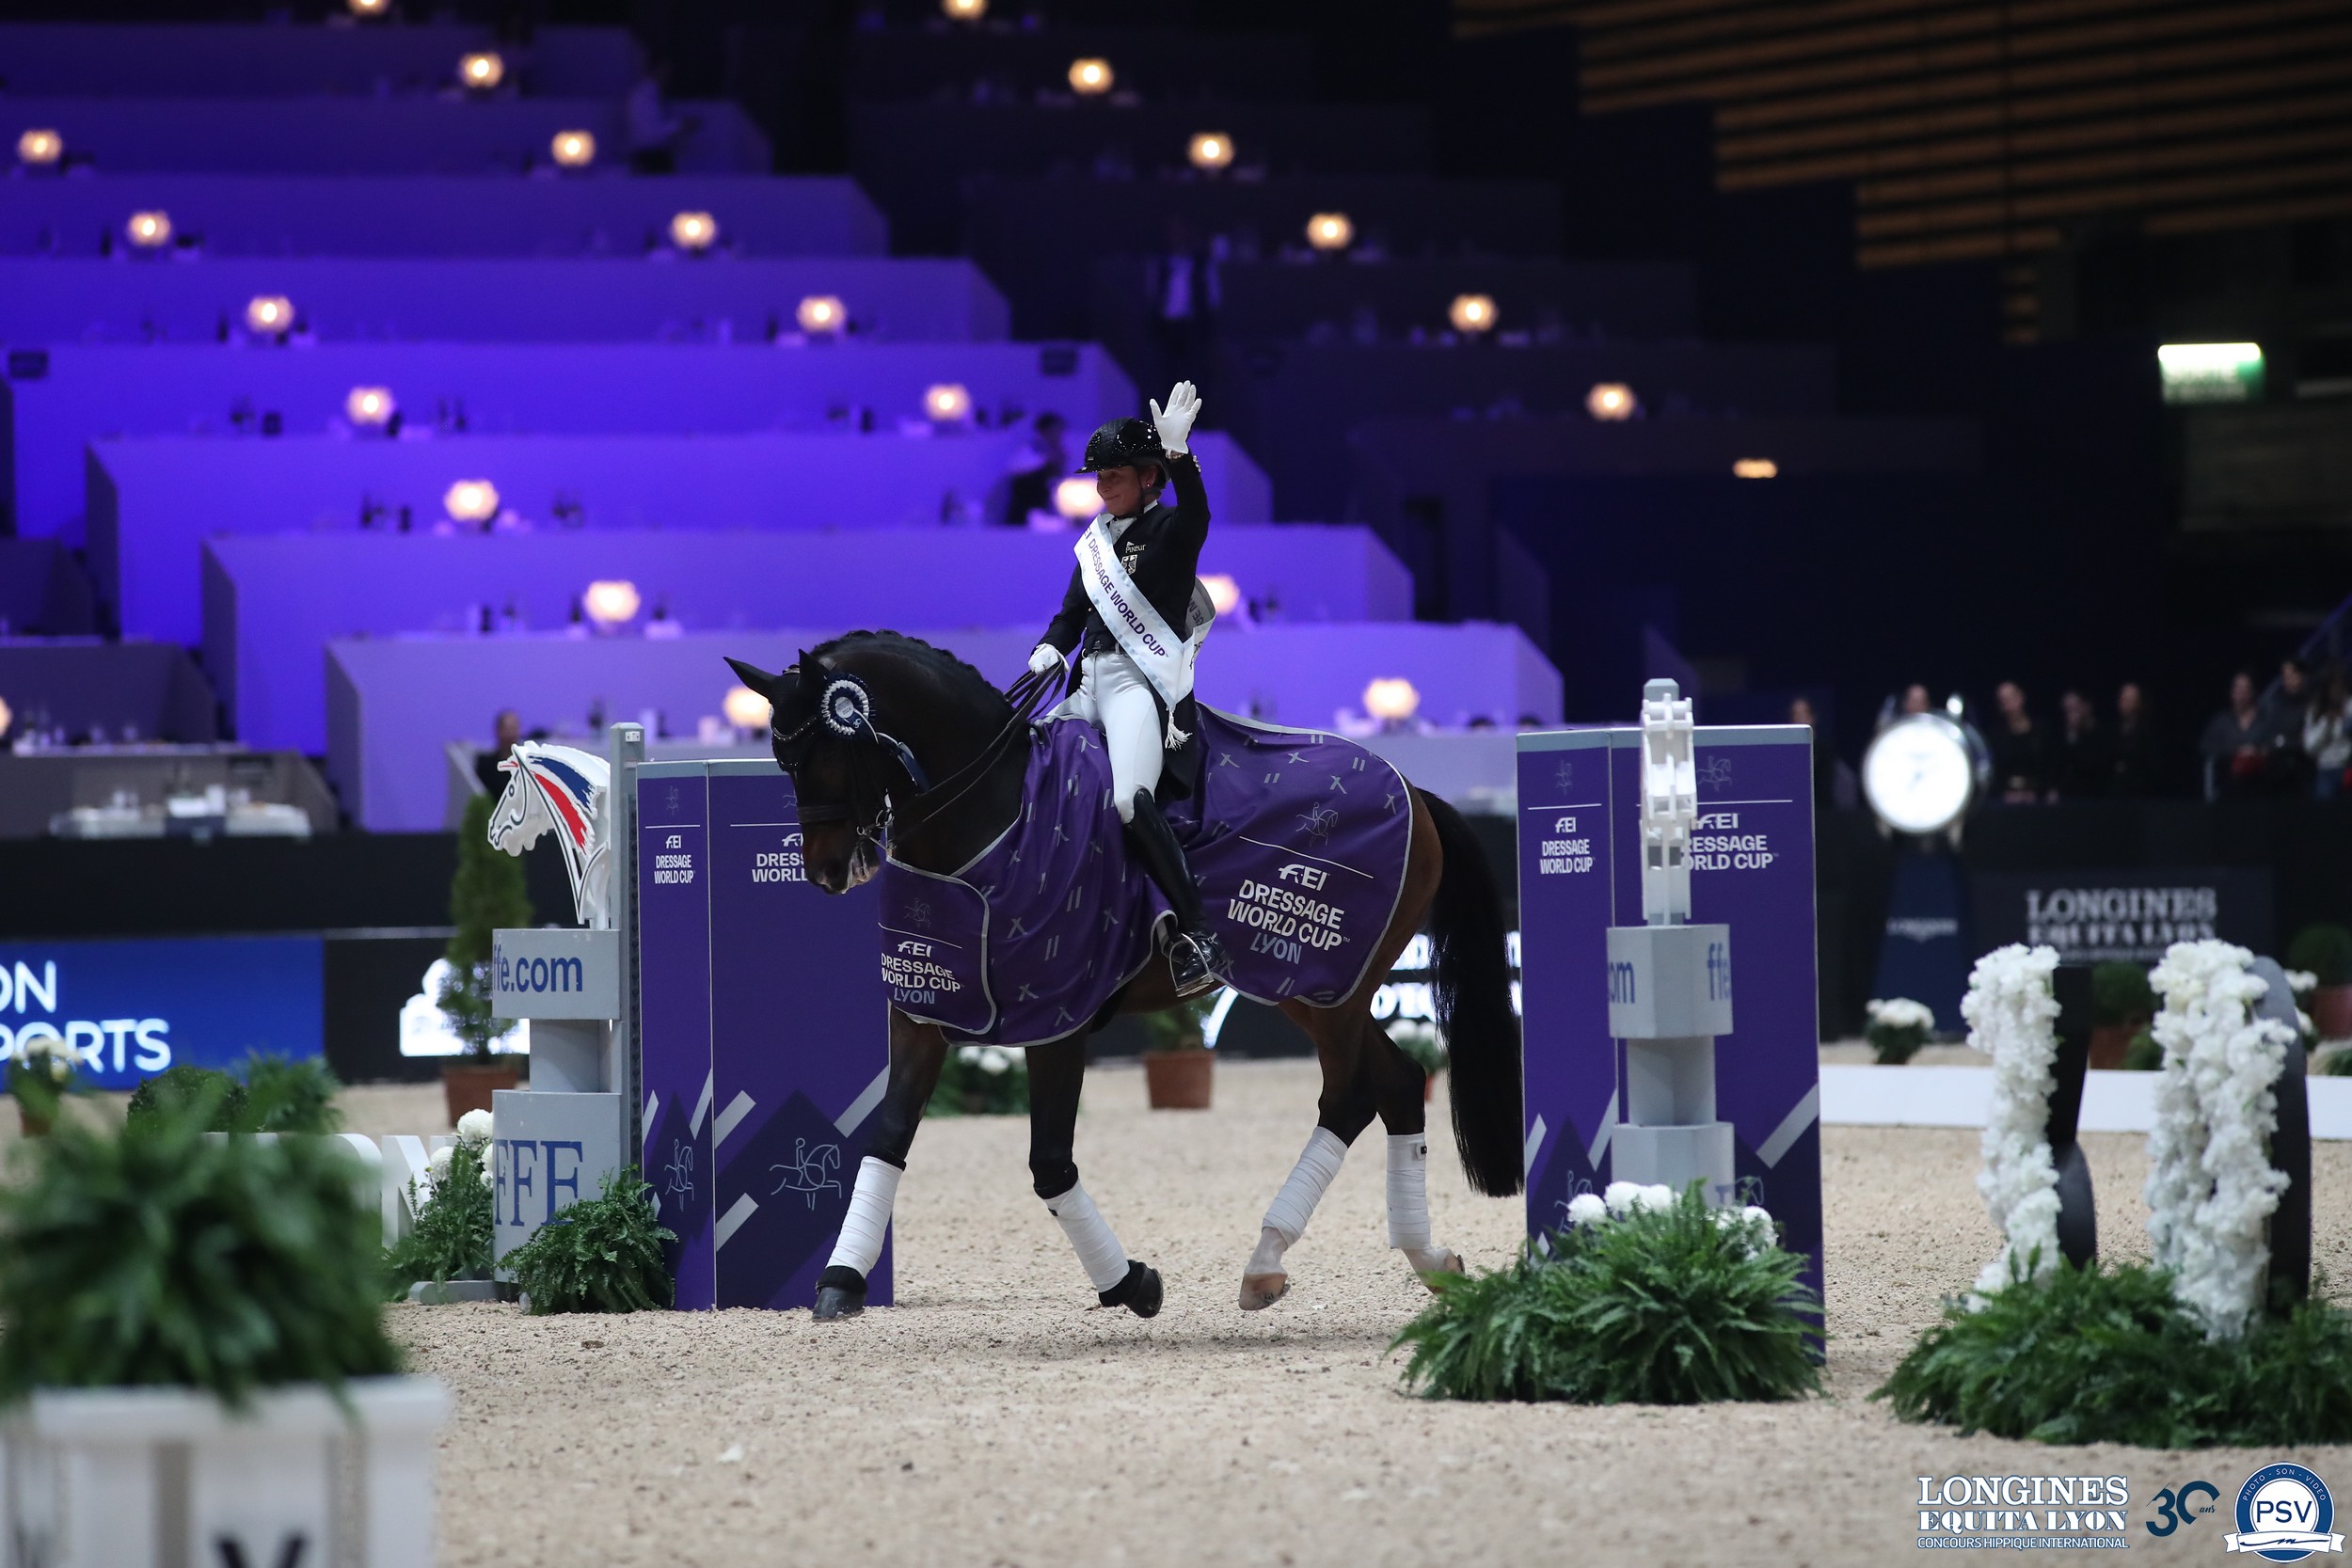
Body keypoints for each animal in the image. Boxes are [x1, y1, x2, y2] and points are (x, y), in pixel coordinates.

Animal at [724, 629, 1515, 1316]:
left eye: (822, 753)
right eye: (780, 759)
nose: (828, 871)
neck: (991, 813)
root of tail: (1413, 789)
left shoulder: (1058, 1015)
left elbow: (1049, 1160)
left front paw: (1129, 1283)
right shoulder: (923, 1004)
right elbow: (887, 1136)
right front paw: (841, 1280)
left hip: (1326, 986)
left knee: (1348, 1099)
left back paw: (1265, 1258)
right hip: (1311, 989)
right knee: (1400, 1082)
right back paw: (1429, 1259)